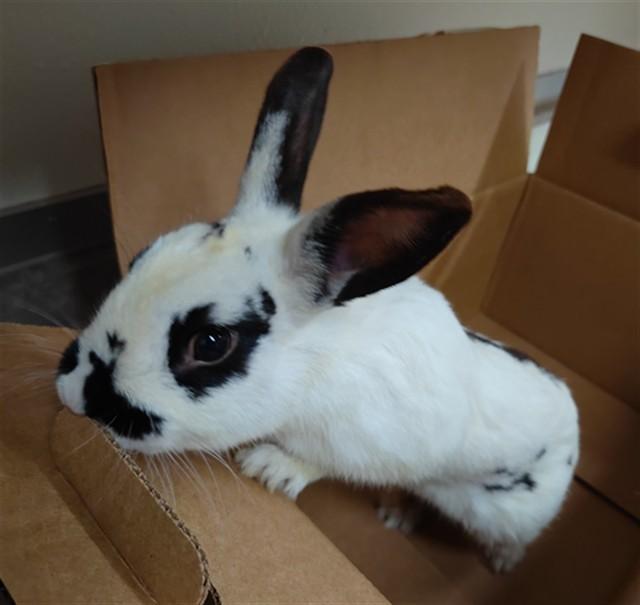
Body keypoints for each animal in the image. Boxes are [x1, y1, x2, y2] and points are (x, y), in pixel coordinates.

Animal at [56, 47, 579, 573]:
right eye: (142, 257)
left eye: (210, 344)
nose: (73, 394)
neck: (313, 366)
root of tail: (573, 419)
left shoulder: (365, 444)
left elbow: (322, 462)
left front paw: (268, 468)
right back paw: (396, 514)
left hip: (505, 509)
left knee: (511, 534)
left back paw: (503, 562)